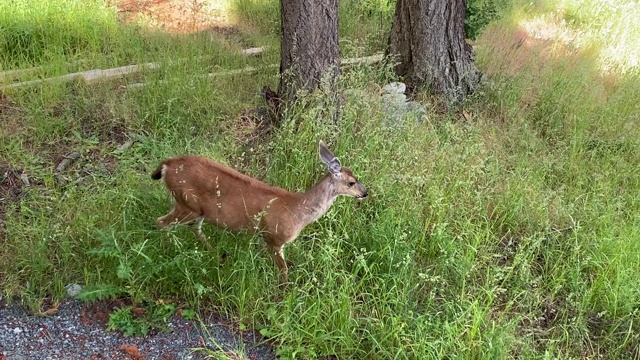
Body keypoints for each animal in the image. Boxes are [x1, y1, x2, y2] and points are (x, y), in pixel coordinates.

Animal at [151, 142, 368, 282]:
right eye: (351, 182)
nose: (365, 193)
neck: (298, 210)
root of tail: (167, 164)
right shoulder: (275, 237)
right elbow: (284, 270)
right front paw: (285, 293)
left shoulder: (264, 238)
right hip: (186, 204)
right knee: (161, 222)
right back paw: (166, 252)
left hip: (195, 209)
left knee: (192, 228)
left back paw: (213, 253)